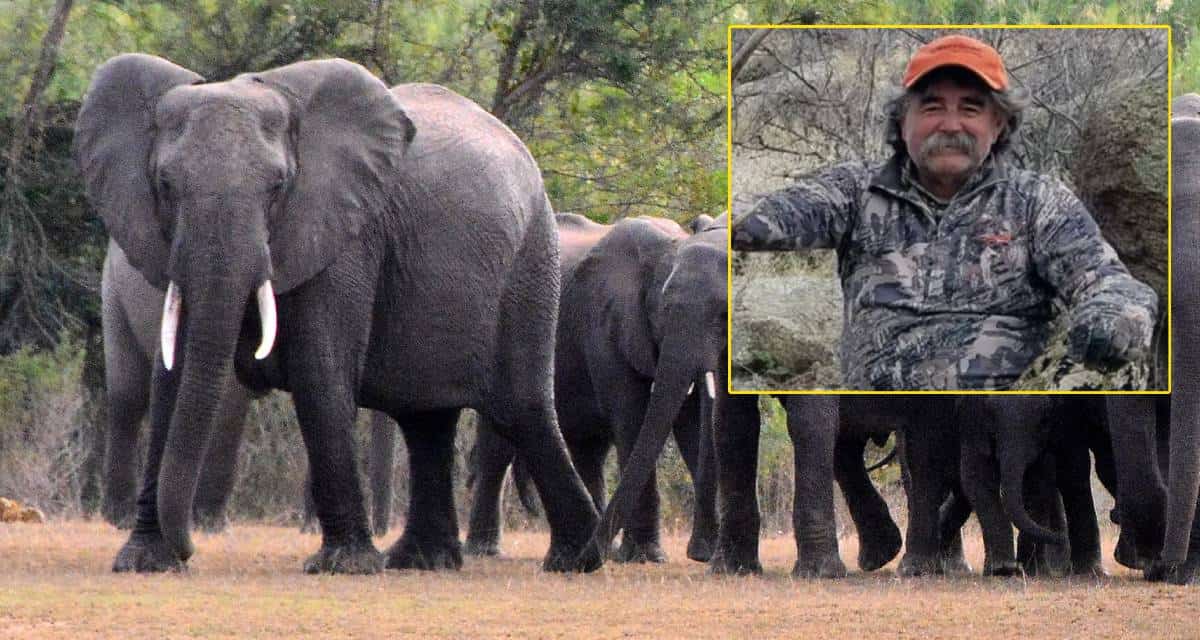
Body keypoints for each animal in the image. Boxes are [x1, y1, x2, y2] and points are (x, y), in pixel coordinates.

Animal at [104, 238, 398, 536]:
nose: (380, 530)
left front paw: (313, 529)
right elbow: (230, 402)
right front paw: (211, 526)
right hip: (115, 294)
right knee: (127, 399)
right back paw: (122, 519)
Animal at [469, 212, 720, 563]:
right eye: (666, 310)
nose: (699, 553)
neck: (668, 248)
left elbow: (689, 424)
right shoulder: (607, 324)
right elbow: (632, 420)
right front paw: (646, 557)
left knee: (589, 452)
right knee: (498, 448)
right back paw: (485, 551)